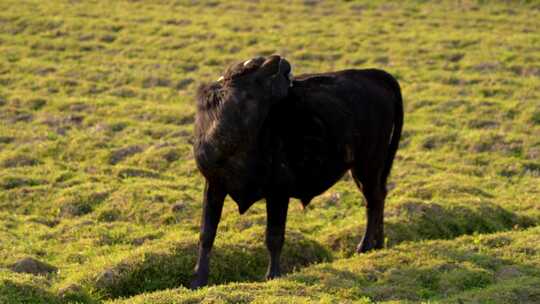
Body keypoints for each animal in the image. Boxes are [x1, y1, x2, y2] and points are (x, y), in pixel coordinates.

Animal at [192, 55, 402, 288]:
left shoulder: (278, 191)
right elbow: (206, 234)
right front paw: (199, 279)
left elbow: (274, 237)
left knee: (374, 200)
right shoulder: (214, 185)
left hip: (368, 164)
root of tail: (372, 74)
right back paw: (378, 244)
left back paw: (364, 246)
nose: (282, 62)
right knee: (378, 197)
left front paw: (273, 275)